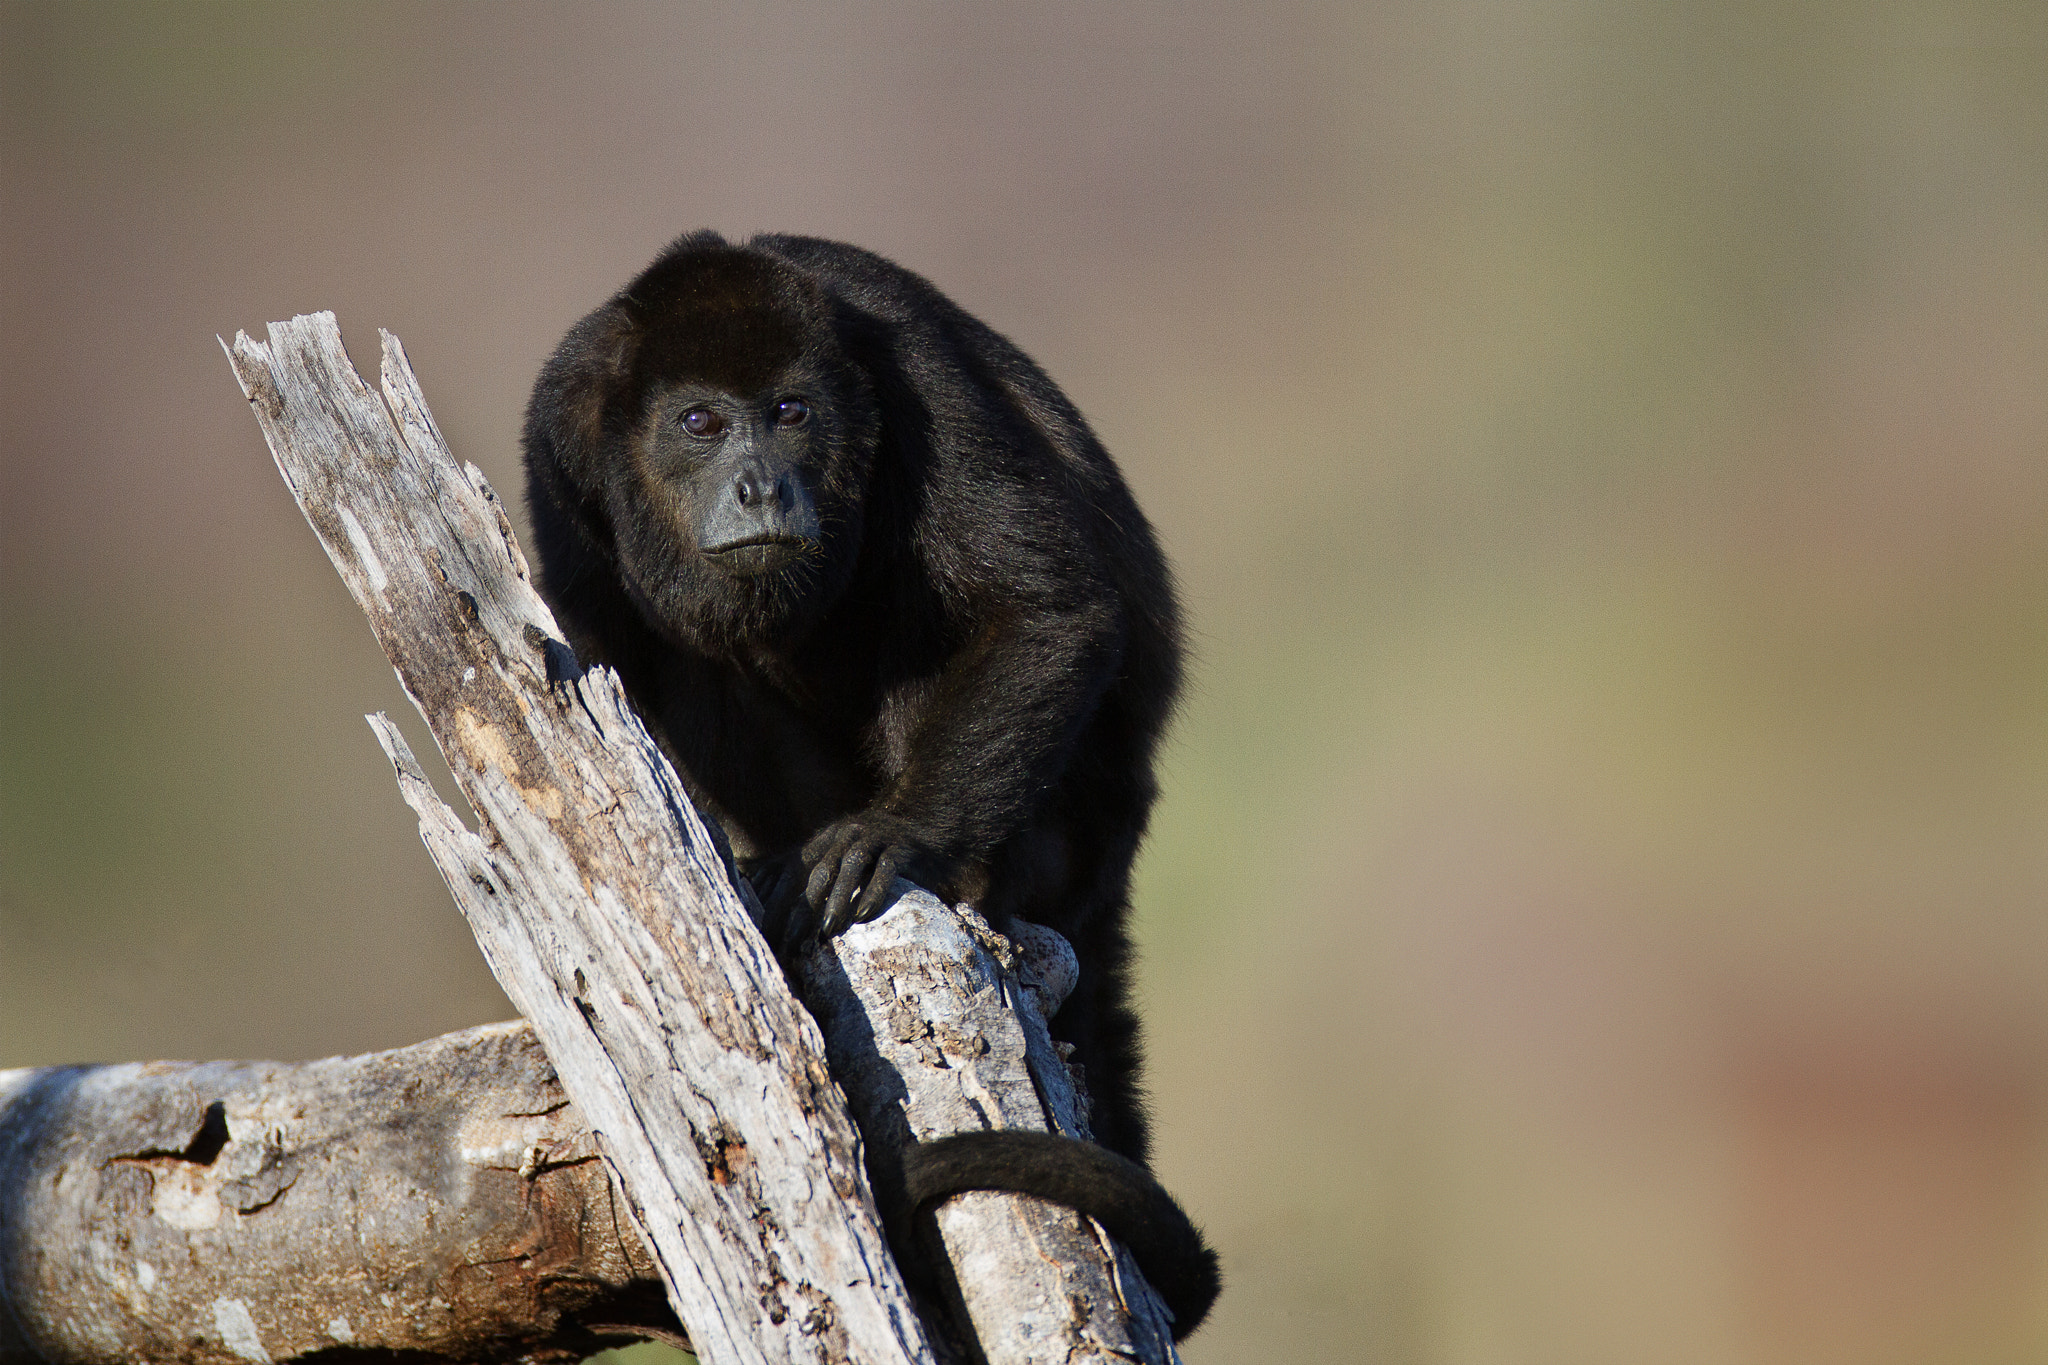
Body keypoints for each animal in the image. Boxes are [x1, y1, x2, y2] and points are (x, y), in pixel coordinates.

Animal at [520, 232, 1212, 1334]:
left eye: (791, 414)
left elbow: (1044, 610)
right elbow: (612, 657)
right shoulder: (558, 433)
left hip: (1072, 833)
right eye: (700, 424)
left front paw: (903, 835)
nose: (762, 487)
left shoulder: (917, 374)